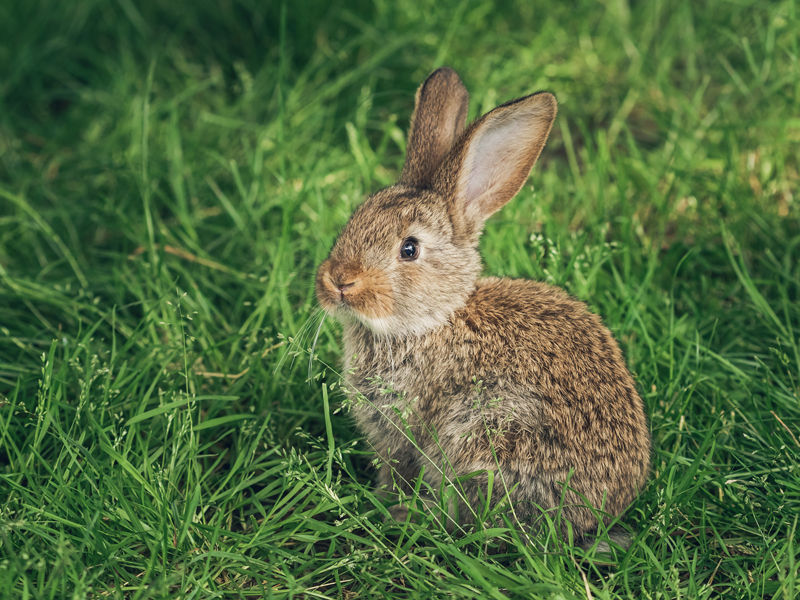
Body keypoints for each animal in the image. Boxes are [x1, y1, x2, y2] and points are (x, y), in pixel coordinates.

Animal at [315, 67, 651, 550]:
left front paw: (386, 504)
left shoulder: (405, 430)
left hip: (488, 435)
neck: (434, 321)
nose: (339, 281)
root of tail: (586, 524)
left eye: (409, 249)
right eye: (352, 221)